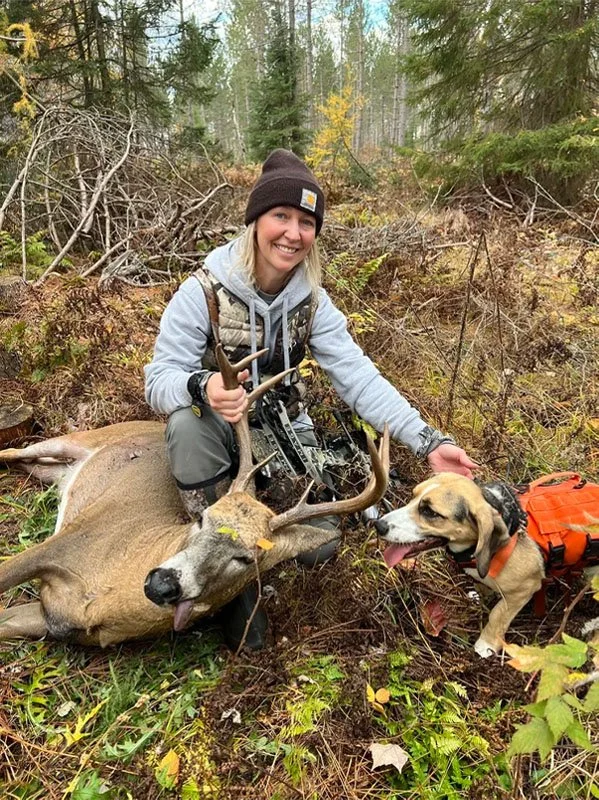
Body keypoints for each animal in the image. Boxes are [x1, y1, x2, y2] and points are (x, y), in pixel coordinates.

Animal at [0, 345, 389, 647]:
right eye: (202, 517)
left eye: (246, 558)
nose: (163, 584)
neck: (104, 596)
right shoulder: (66, 542)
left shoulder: (51, 619)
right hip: (75, 439)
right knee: (13, 452)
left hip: (53, 470)